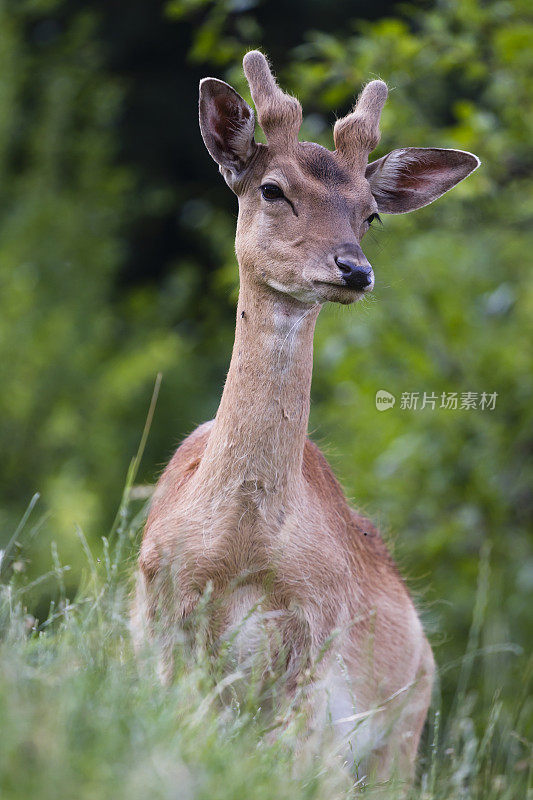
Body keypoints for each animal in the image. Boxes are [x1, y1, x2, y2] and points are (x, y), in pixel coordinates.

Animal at [132, 51, 478, 792]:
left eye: (370, 214)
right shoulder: (159, 619)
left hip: (401, 738)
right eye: (272, 188)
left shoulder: (315, 647)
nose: (353, 268)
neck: (237, 546)